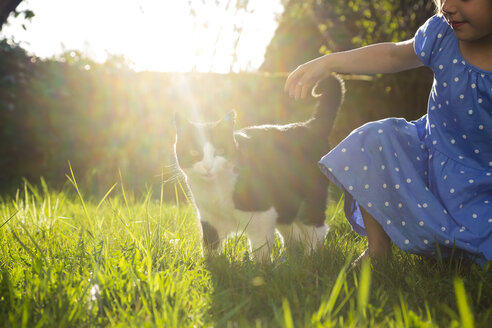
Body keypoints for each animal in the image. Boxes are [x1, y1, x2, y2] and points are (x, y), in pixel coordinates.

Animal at [175, 75, 344, 262]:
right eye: (194, 152)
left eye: (219, 151)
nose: (207, 166)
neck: (216, 189)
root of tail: (310, 125)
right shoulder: (209, 218)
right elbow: (210, 246)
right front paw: (211, 264)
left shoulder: (262, 216)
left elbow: (260, 249)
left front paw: (261, 267)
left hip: (310, 200)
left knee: (317, 230)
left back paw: (311, 258)